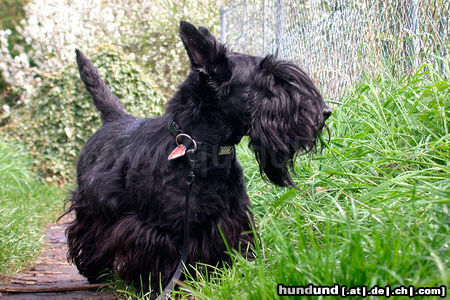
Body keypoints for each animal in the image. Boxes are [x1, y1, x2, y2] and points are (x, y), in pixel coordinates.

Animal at [64, 19, 330, 296]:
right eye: (269, 81)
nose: (325, 112)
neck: (201, 152)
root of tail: (114, 118)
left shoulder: (231, 221)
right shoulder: (158, 231)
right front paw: (160, 285)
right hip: (91, 210)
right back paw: (94, 269)